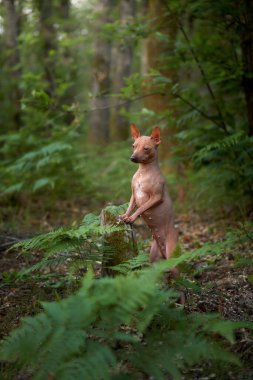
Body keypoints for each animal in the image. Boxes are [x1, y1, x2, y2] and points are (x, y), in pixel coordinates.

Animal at [120, 123, 178, 266]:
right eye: (133, 146)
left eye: (146, 148)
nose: (132, 158)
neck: (143, 172)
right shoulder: (134, 195)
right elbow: (130, 206)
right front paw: (125, 215)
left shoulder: (156, 197)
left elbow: (141, 208)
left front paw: (132, 218)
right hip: (154, 256)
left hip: (172, 255)